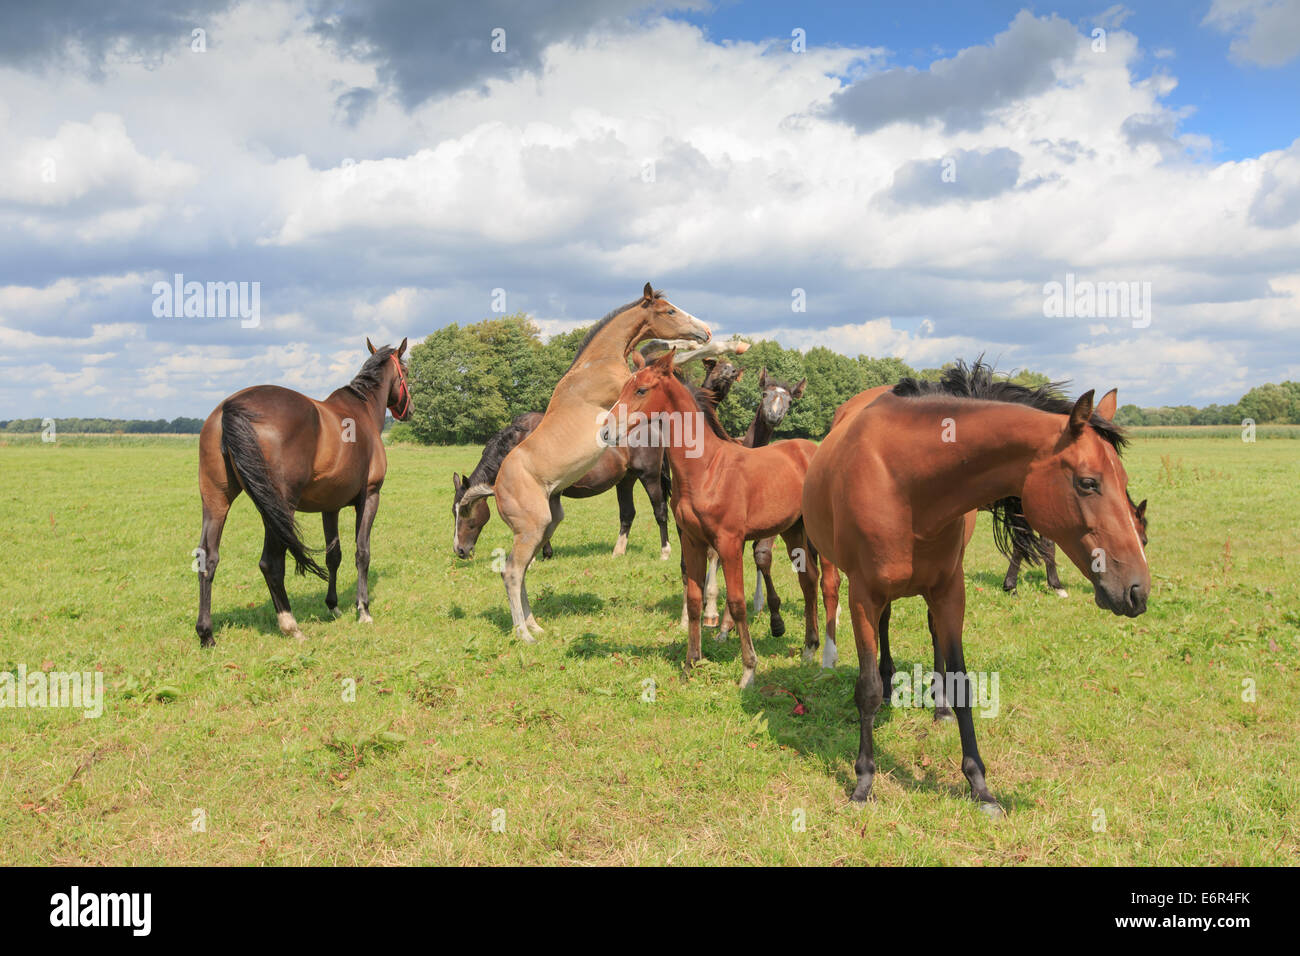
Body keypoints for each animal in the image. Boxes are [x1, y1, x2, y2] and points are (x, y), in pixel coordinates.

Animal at [194, 337, 411, 648]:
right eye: (406, 370)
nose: (409, 409)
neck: (363, 412)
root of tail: (233, 406)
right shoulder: (369, 497)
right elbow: (362, 552)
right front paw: (363, 610)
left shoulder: (330, 507)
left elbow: (334, 555)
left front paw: (333, 606)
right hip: (279, 508)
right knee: (270, 564)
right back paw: (290, 625)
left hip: (217, 500)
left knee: (207, 557)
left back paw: (206, 633)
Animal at [456, 283, 711, 643]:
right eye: (670, 311)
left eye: (463, 514)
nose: (705, 330)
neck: (596, 362)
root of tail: (497, 486)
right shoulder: (626, 387)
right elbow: (653, 355)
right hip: (532, 527)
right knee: (511, 571)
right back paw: (524, 633)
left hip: (549, 522)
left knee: (522, 571)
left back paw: (535, 625)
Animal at [606, 350, 836, 688]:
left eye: (641, 390)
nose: (605, 431)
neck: (706, 469)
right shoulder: (692, 540)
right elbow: (693, 599)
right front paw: (691, 664)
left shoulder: (729, 543)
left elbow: (738, 603)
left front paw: (748, 670)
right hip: (794, 529)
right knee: (808, 580)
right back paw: (809, 649)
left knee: (829, 584)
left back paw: (828, 658)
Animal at [802, 360, 1149, 813]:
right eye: (1088, 482)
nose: (1137, 590)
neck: (904, 482)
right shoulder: (862, 595)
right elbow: (868, 688)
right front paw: (863, 782)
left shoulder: (951, 592)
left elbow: (963, 683)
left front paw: (979, 785)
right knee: (883, 632)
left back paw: (939, 709)